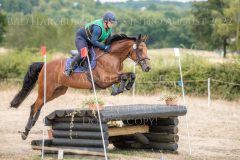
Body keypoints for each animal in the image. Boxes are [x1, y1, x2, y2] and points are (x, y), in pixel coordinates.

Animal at [9, 34, 152, 140]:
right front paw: (119, 89)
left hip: (57, 91)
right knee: (34, 106)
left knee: (39, 105)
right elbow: (123, 76)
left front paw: (126, 87)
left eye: (146, 50)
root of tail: (44, 65)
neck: (112, 56)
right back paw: (25, 132)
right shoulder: (104, 80)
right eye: (140, 50)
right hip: (46, 90)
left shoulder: (114, 75)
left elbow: (131, 74)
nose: (148, 67)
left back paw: (31, 125)